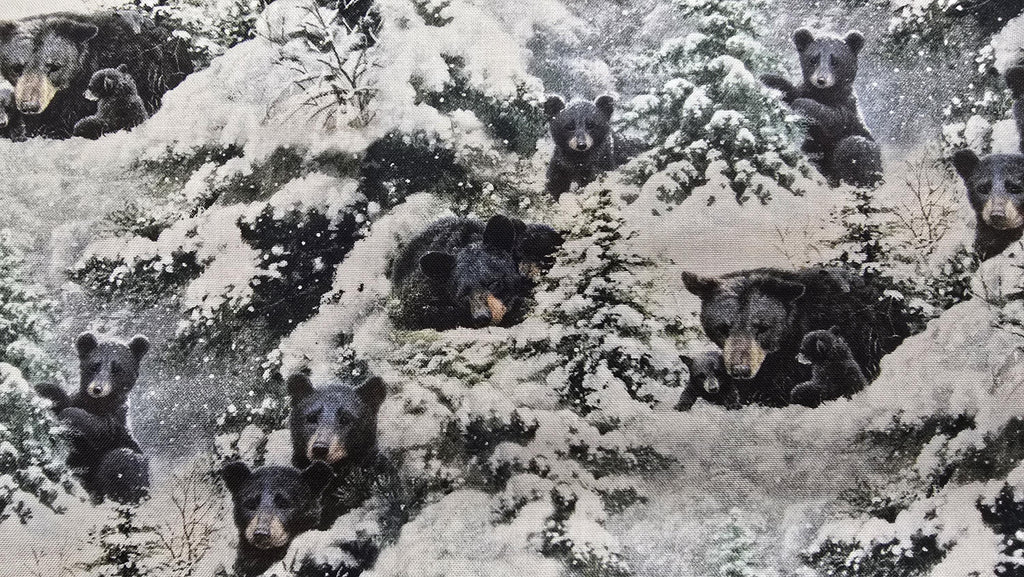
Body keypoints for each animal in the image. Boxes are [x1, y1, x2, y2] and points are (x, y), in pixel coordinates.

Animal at [35, 331, 151, 503]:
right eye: (94, 366)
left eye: (117, 369)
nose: (97, 389)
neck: (97, 403)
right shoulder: (79, 400)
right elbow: (61, 398)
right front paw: (43, 388)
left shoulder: (116, 421)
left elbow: (99, 428)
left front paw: (69, 415)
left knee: (124, 460)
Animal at [761, 28, 883, 188]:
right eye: (813, 59)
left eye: (835, 61)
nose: (821, 80)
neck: (823, 94)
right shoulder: (806, 91)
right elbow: (790, 91)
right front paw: (768, 79)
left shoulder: (846, 110)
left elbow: (833, 118)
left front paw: (801, 104)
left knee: (857, 147)